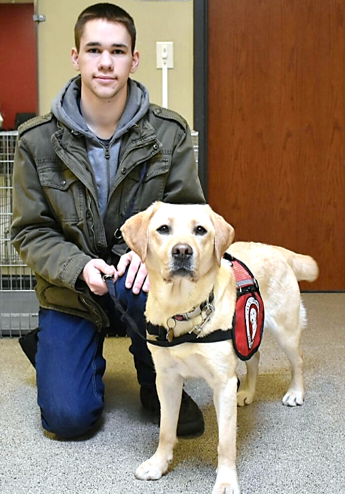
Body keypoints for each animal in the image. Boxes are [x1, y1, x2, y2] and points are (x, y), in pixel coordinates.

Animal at [120, 202, 318, 494]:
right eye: (163, 229)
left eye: (200, 230)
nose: (182, 251)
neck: (183, 309)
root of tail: (275, 248)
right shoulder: (166, 380)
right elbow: (166, 430)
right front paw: (158, 464)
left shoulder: (223, 384)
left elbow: (226, 443)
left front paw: (226, 481)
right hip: (248, 331)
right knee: (254, 357)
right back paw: (247, 392)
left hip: (286, 330)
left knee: (298, 361)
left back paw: (295, 392)